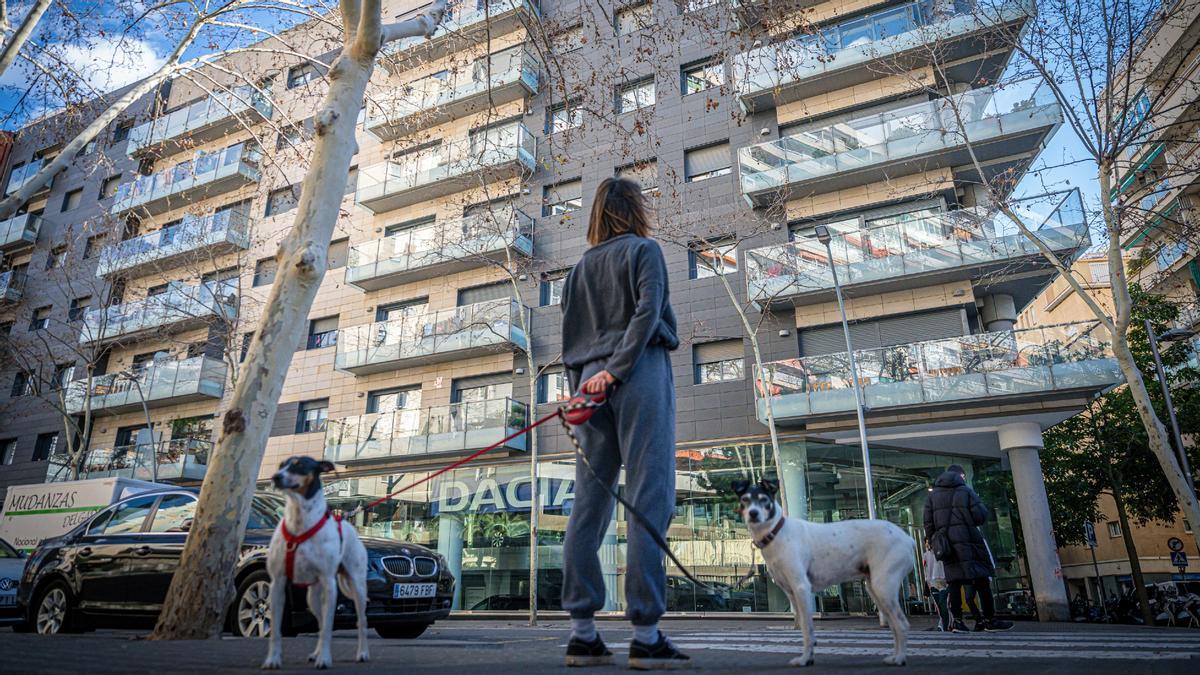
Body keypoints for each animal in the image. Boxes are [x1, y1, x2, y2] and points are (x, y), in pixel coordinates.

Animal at [264, 454, 367, 662]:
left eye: (300, 465)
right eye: (280, 466)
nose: (276, 477)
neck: (299, 521)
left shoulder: (329, 584)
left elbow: (328, 628)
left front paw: (325, 659)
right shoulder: (277, 583)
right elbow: (276, 630)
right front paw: (273, 659)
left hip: (358, 588)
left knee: (361, 621)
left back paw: (362, 653)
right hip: (312, 598)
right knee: (320, 622)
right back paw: (316, 653)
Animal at [724, 478, 912, 662]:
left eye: (764, 500)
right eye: (745, 500)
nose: (753, 513)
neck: (777, 532)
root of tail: (908, 538)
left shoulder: (801, 587)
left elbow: (807, 629)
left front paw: (806, 658)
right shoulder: (791, 593)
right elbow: (802, 626)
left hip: (883, 587)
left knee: (902, 625)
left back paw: (900, 658)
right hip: (874, 589)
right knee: (895, 625)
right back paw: (895, 656)